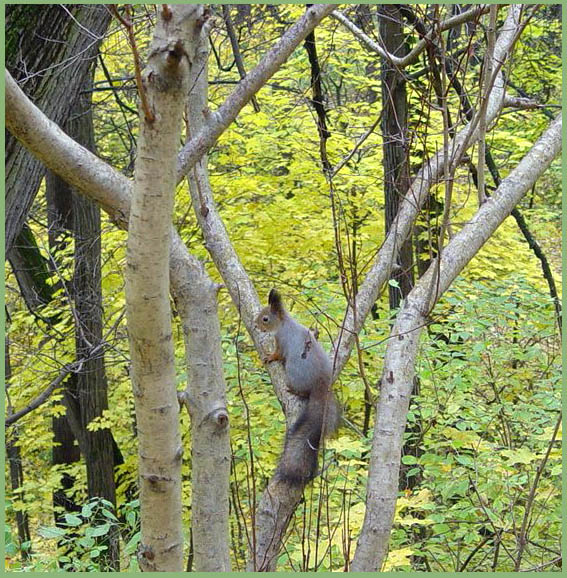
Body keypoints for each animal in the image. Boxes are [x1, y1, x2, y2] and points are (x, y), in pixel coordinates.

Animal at [255, 286, 340, 482]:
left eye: (265, 318)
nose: (255, 325)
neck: (284, 323)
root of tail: (321, 383)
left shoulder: (281, 342)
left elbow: (278, 354)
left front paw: (270, 357)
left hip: (294, 374)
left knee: (304, 392)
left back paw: (293, 391)